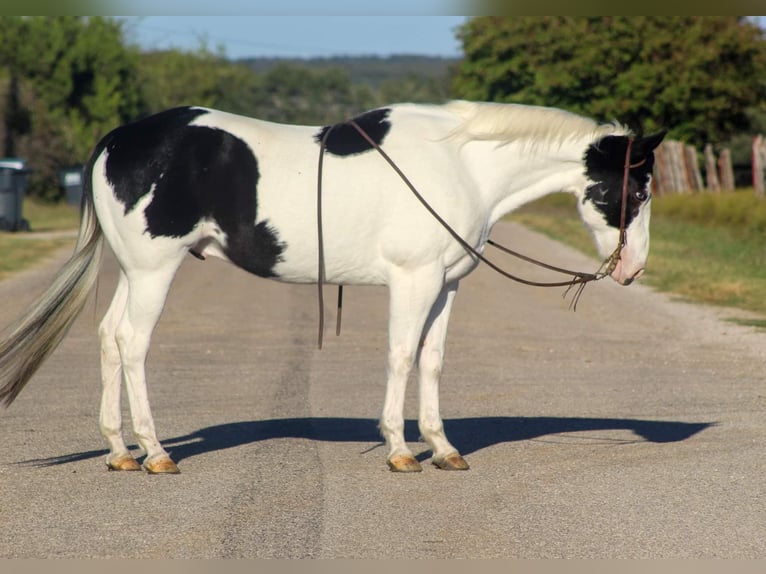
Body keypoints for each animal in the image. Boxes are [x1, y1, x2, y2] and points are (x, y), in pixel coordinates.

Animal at [0, 100, 665, 473]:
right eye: (638, 189)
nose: (633, 268)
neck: (461, 165)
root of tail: (116, 141)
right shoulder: (414, 279)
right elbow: (401, 356)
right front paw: (400, 450)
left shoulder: (446, 285)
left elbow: (431, 361)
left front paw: (442, 447)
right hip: (154, 270)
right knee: (133, 345)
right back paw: (155, 452)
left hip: (134, 272)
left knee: (109, 338)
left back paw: (119, 451)